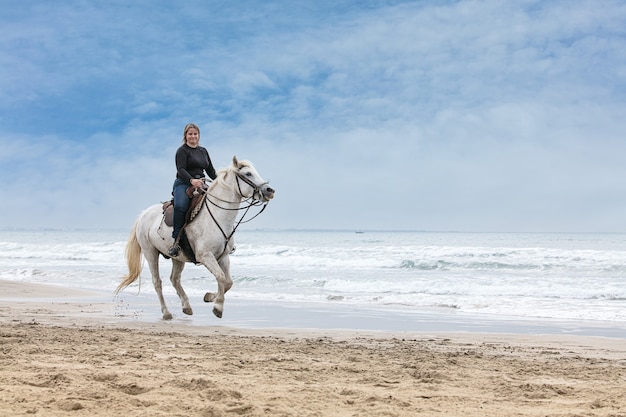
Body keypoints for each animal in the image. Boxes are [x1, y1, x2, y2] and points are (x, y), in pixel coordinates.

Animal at [116, 156, 274, 318]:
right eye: (248, 174)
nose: (269, 190)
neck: (218, 215)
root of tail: (143, 214)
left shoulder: (223, 257)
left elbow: (228, 282)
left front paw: (210, 297)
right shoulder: (205, 256)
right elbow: (221, 277)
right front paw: (218, 307)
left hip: (177, 257)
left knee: (175, 279)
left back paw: (186, 306)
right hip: (150, 252)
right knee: (157, 282)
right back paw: (166, 313)